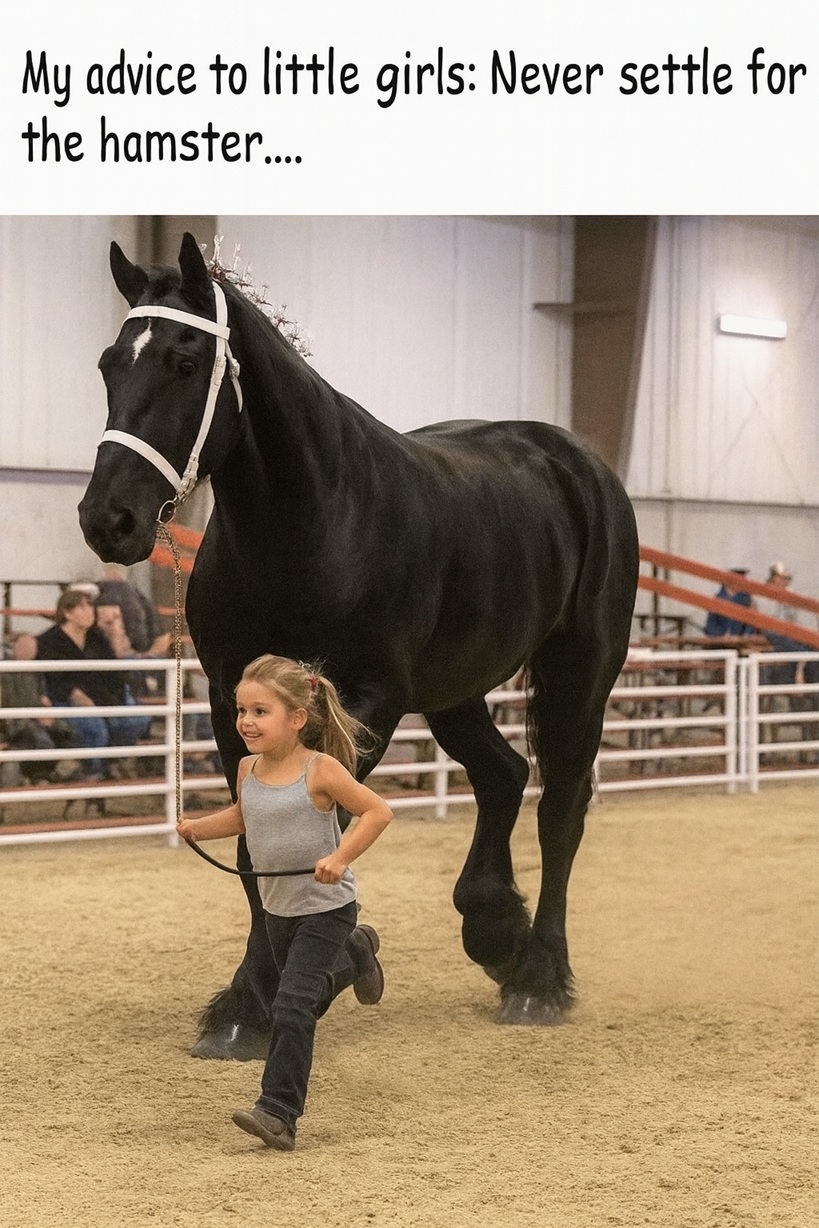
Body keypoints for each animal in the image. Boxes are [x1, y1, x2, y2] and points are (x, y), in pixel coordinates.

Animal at [79, 232, 639, 1056]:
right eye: (110, 364)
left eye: (184, 362)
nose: (107, 519)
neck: (314, 521)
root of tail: (576, 463)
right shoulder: (230, 704)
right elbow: (259, 844)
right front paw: (259, 997)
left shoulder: (366, 702)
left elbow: (315, 830)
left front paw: (301, 978)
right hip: (454, 687)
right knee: (503, 775)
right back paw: (493, 929)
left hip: (580, 670)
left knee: (561, 805)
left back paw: (538, 979)